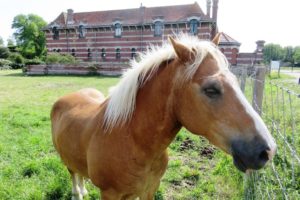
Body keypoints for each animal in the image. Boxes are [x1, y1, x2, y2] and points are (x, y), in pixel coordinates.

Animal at [49, 33, 276, 199]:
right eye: (211, 89)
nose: (268, 150)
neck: (130, 139)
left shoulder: (149, 190)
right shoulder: (111, 194)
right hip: (65, 159)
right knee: (72, 173)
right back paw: (78, 193)